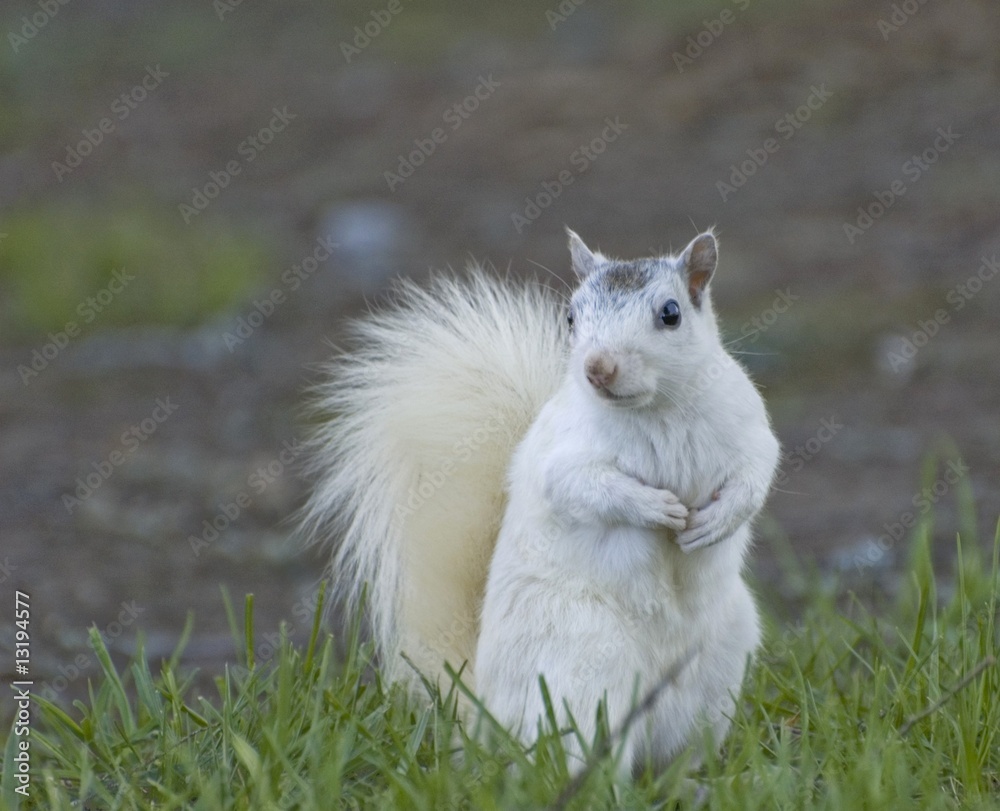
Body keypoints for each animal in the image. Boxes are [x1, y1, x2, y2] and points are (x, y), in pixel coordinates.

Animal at [302, 229, 780, 772]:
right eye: (571, 316)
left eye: (671, 313)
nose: (598, 367)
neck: (658, 409)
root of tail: (488, 721)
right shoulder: (564, 455)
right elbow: (584, 487)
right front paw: (656, 507)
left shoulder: (748, 427)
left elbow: (755, 473)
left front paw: (717, 521)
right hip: (584, 666)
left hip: (720, 665)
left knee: (677, 751)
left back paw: (693, 777)